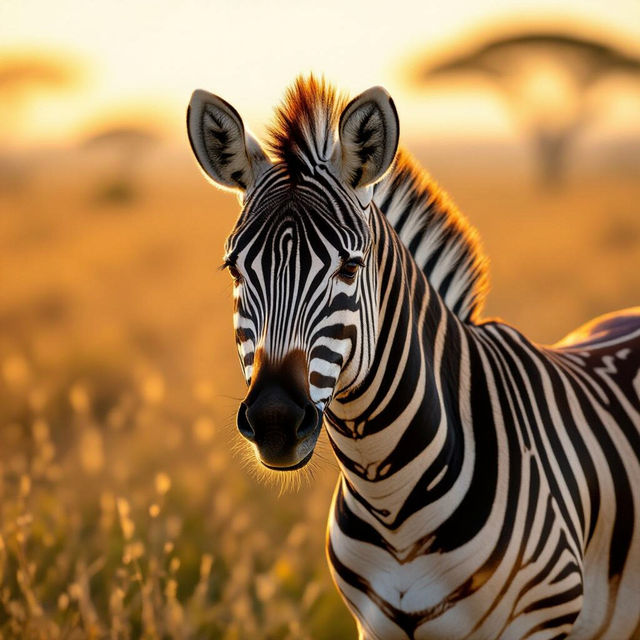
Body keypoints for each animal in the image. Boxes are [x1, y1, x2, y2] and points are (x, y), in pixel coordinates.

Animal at [187, 76, 640, 639]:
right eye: (234, 269)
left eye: (350, 268)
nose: (274, 420)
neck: (389, 496)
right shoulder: (374, 626)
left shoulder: (541, 619)